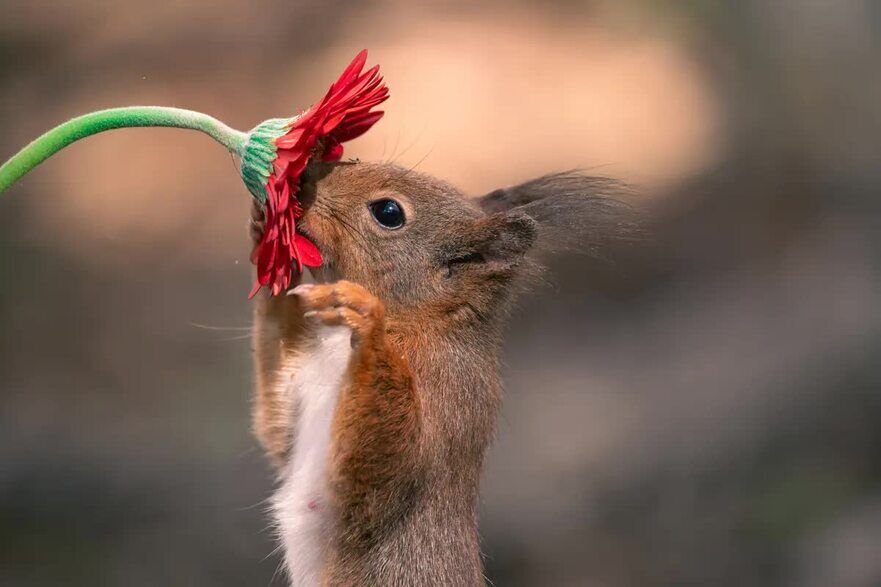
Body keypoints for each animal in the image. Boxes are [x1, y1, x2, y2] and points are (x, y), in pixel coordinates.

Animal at [248, 158, 640, 584]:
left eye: (389, 212)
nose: (302, 183)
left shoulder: (445, 393)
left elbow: (377, 476)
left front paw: (367, 321)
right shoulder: (300, 385)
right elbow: (277, 430)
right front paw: (262, 231)